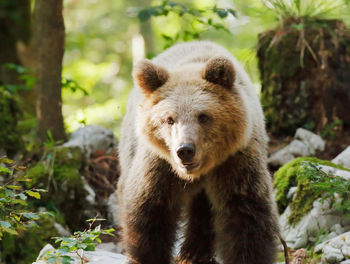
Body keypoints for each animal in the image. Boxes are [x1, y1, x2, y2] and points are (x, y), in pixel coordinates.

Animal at [117, 41, 278, 264]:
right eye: (169, 119)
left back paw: (194, 252)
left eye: (203, 116)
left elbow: (246, 214)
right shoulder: (160, 165)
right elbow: (150, 211)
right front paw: (146, 255)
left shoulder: (236, 161)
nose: (185, 150)